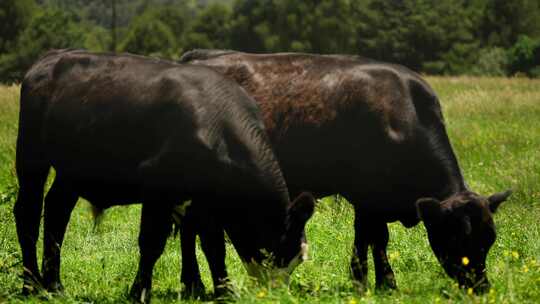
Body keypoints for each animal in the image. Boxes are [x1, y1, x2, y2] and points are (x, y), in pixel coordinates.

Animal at [14, 49, 316, 302]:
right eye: (281, 253)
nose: (276, 296)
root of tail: (52, 57)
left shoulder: (205, 201)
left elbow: (213, 245)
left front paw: (224, 292)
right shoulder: (158, 190)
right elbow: (152, 243)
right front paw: (139, 292)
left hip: (72, 171)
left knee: (56, 212)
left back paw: (54, 285)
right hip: (31, 157)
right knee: (28, 214)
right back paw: (31, 284)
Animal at [179, 50, 512, 292]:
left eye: (490, 240)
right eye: (457, 237)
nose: (481, 288)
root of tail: (199, 58)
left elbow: (367, 238)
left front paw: (369, 281)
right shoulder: (367, 196)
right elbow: (374, 238)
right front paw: (377, 283)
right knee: (192, 229)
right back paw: (194, 285)